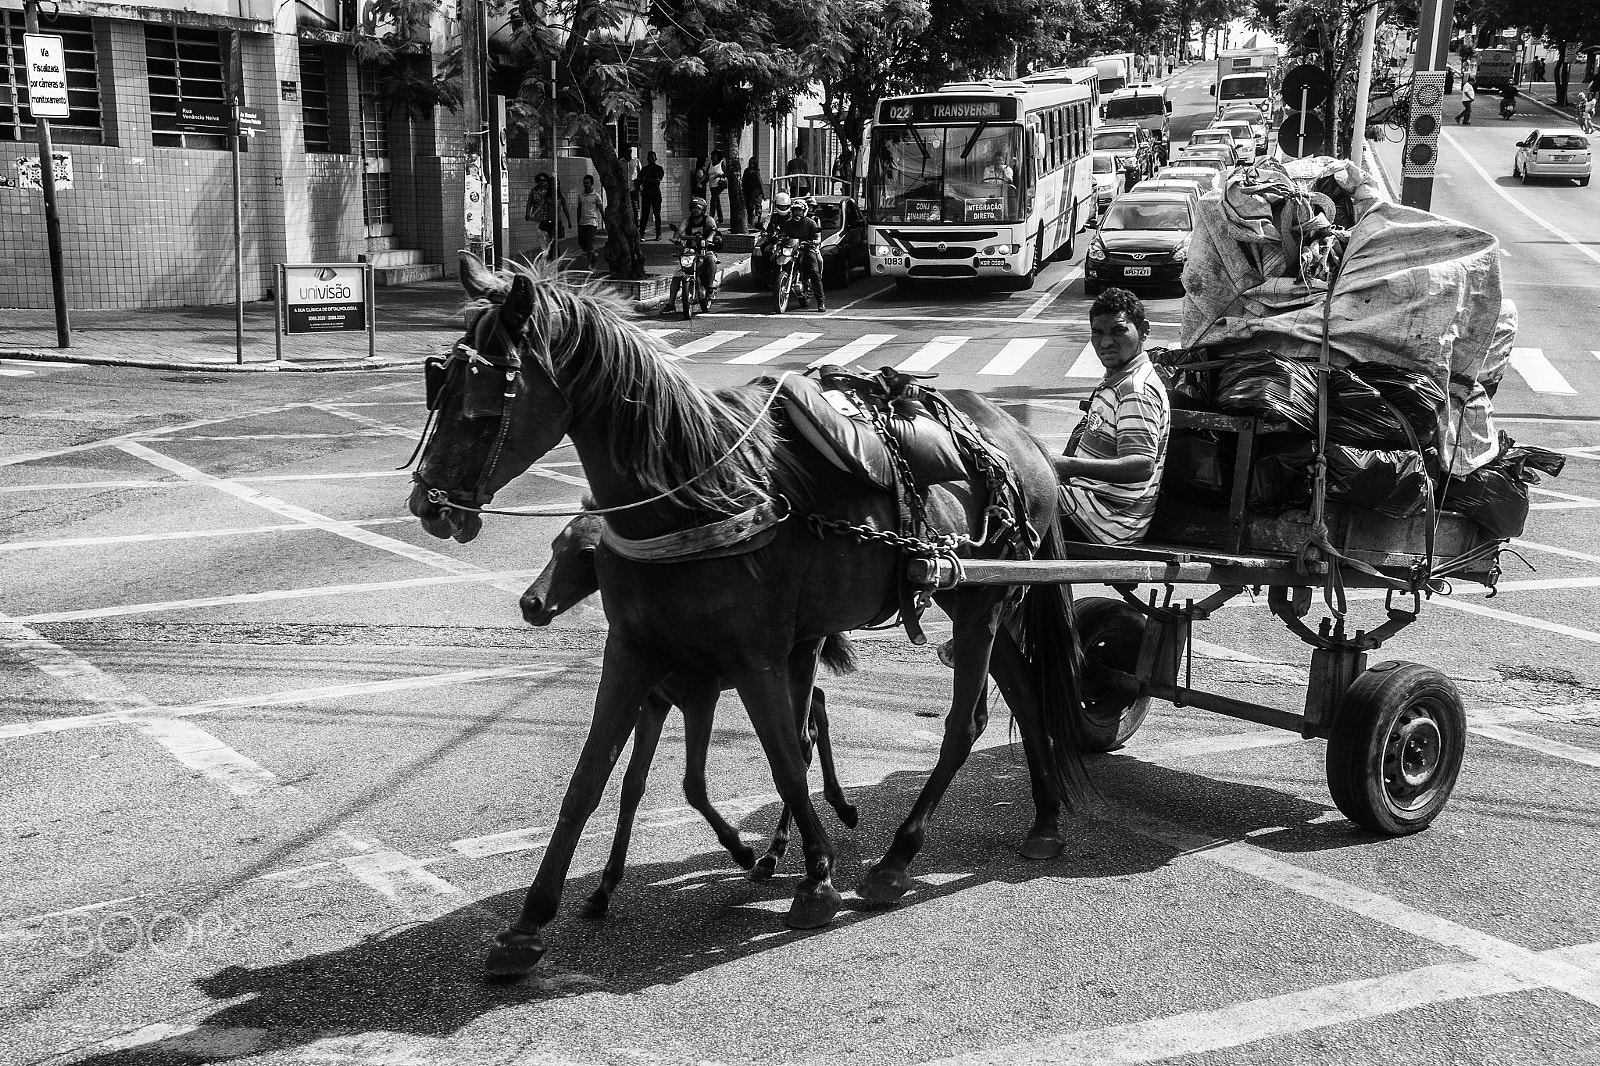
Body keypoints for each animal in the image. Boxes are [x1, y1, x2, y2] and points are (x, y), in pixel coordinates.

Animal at [412, 256, 1088, 973]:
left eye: (484, 400)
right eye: (439, 385)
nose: (428, 505)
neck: (690, 497)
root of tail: (1020, 436)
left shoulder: (755, 658)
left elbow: (787, 760)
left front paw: (815, 878)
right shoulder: (634, 654)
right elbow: (589, 781)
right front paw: (530, 921)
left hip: (979, 608)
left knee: (966, 724)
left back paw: (898, 856)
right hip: (975, 600)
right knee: (1024, 691)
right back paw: (1044, 819)